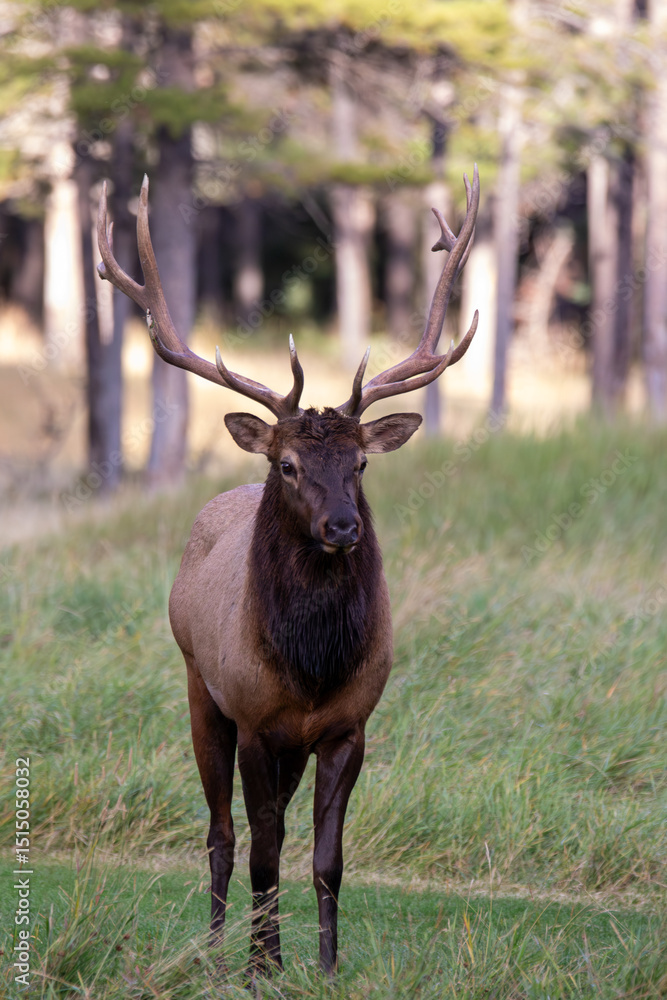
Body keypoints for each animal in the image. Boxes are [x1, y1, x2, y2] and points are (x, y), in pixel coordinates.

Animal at [96, 165, 479, 977]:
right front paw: (260, 967)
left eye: (360, 463)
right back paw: (213, 950)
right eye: (289, 464)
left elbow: (326, 860)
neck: (310, 668)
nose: (343, 527)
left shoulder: (346, 727)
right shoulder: (255, 722)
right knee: (220, 835)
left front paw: (328, 966)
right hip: (198, 690)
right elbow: (263, 852)